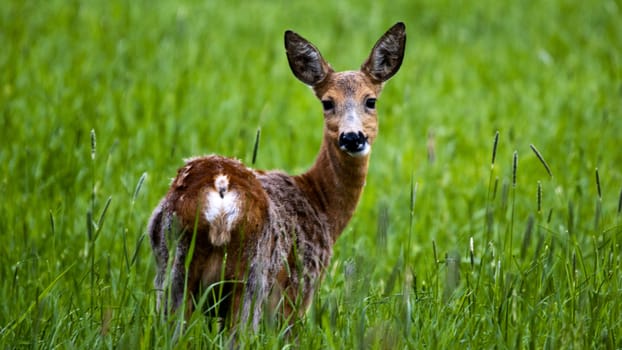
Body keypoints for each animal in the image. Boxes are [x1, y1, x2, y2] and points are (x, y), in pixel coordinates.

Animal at [149, 22, 408, 330]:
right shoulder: (301, 286)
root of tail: (220, 189)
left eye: (371, 100)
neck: (322, 206)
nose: (352, 137)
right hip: (255, 275)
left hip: (174, 266)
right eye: (327, 102)